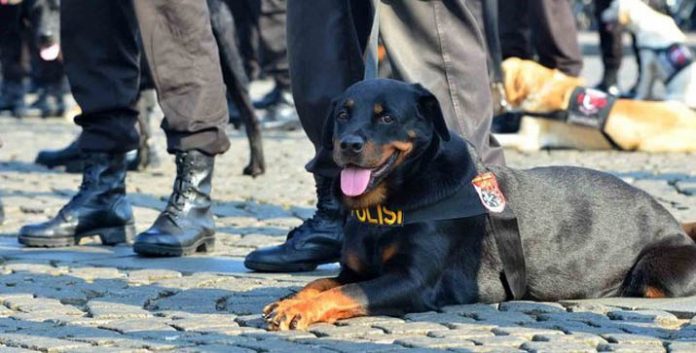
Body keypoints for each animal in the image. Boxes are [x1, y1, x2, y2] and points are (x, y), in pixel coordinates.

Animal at [262, 79, 696, 330]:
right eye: (342, 114)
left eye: (386, 117)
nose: (348, 145)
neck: (391, 204)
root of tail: (673, 221)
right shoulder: (355, 269)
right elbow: (320, 282)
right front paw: (290, 300)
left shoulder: (413, 281)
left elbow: (348, 293)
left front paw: (299, 310)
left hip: (657, 274)